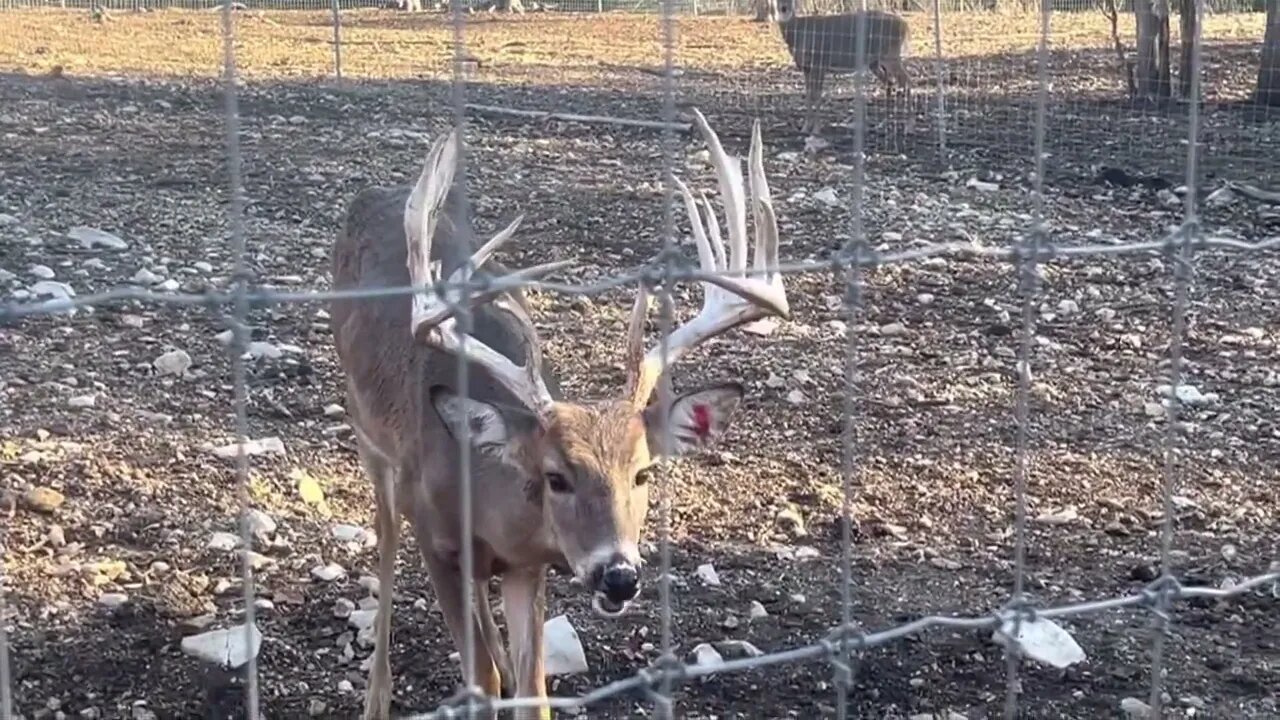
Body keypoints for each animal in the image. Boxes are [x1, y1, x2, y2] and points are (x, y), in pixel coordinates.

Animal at [330, 106, 788, 717]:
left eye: (643, 473)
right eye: (556, 477)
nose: (618, 577)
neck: (484, 495)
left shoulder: (531, 564)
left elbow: (532, 691)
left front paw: (512, 671)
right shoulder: (435, 539)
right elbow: (480, 680)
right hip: (369, 438)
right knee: (384, 539)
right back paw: (376, 695)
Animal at [773, 0, 916, 133]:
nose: (784, 8)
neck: (799, 34)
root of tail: (905, 25)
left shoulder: (819, 63)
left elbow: (817, 95)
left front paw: (816, 129)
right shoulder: (806, 68)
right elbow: (808, 95)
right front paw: (805, 128)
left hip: (891, 55)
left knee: (906, 80)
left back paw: (909, 126)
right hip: (875, 62)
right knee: (890, 82)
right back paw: (884, 123)